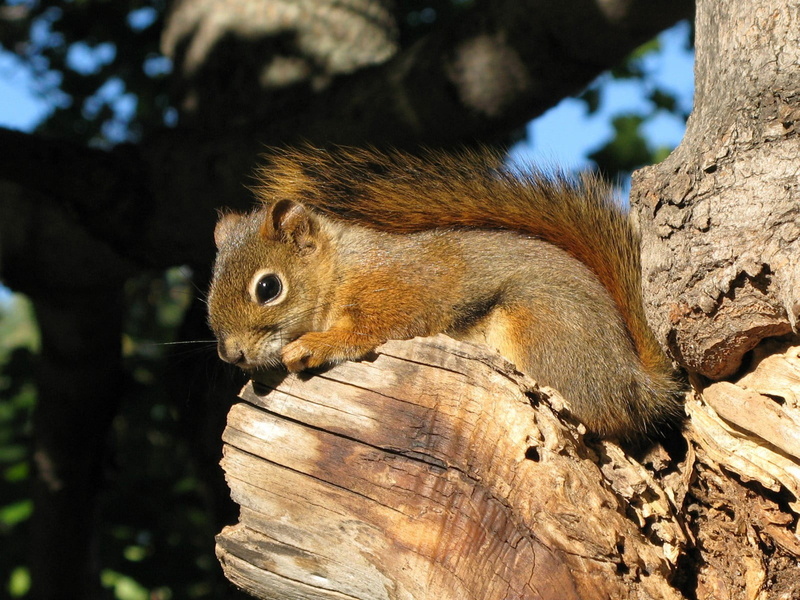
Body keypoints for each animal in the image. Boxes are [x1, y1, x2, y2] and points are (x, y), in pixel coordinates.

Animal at [207, 146, 680, 438]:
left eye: (268, 287)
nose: (231, 355)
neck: (342, 269)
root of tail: (636, 381)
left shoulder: (398, 289)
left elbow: (370, 329)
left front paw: (314, 345)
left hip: (540, 328)